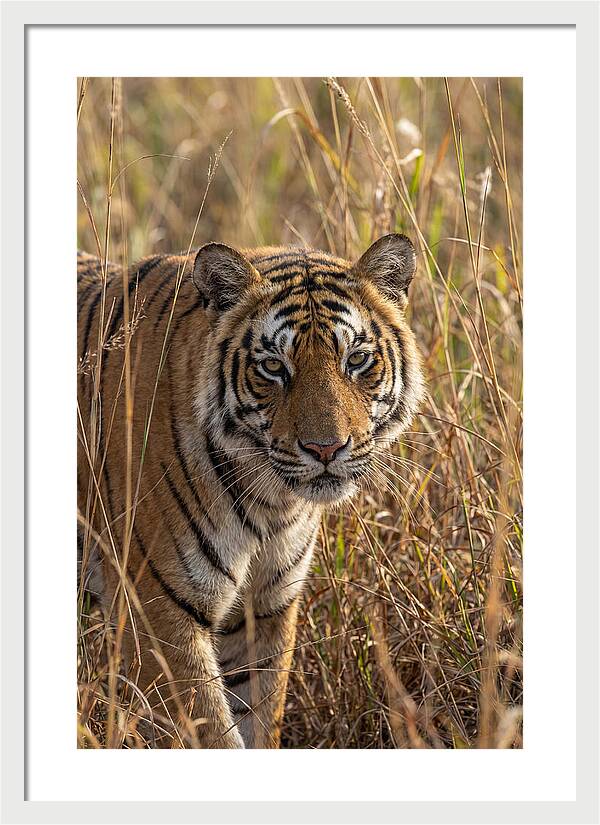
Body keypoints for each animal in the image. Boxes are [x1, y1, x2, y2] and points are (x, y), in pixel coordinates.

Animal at [77, 233, 424, 749]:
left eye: (357, 360)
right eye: (274, 367)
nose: (326, 448)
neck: (271, 504)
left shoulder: (265, 607)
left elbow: (259, 716)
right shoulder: (158, 613)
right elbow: (210, 733)